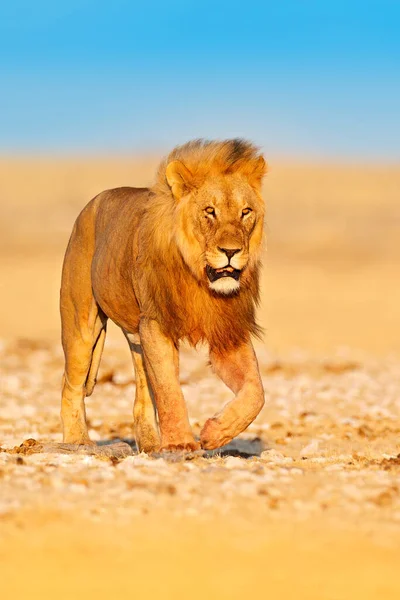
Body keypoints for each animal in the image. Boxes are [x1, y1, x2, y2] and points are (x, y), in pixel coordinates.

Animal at [60, 139, 266, 454]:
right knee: (70, 384)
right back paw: (78, 441)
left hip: (136, 338)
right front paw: (180, 443)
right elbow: (169, 389)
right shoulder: (156, 323)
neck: (199, 279)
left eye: (245, 211)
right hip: (81, 325)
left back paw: (150, 444)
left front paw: (215, 433)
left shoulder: (228, 329)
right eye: (210, 211)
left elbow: (256, 392)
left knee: (143, 395)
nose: (231, 251)